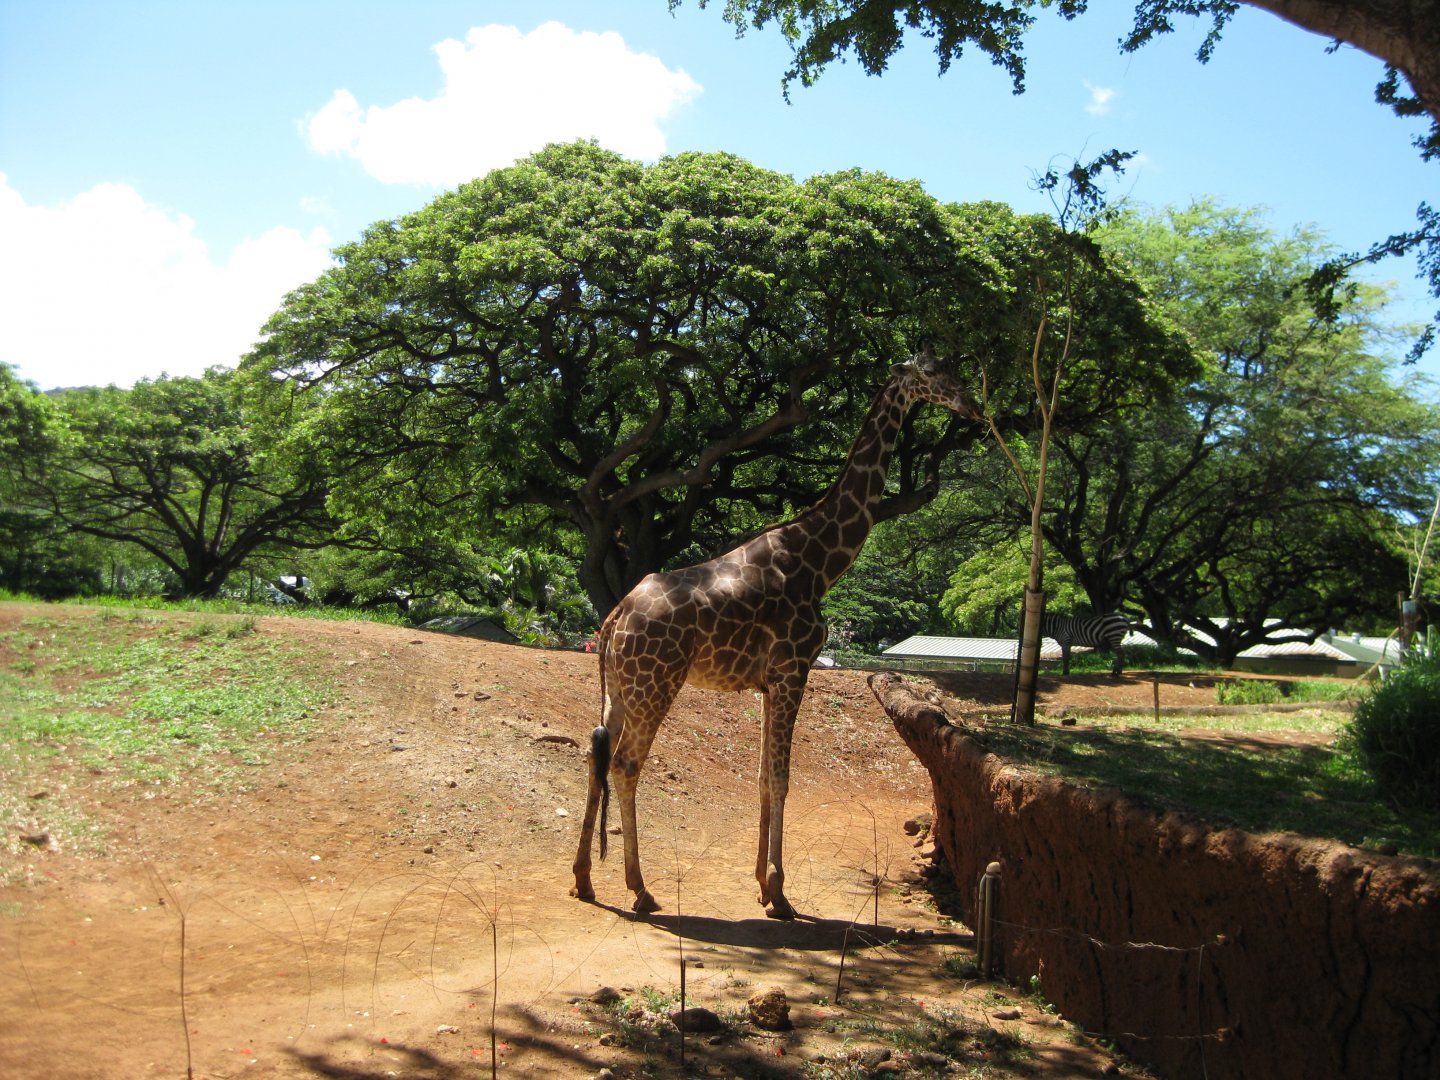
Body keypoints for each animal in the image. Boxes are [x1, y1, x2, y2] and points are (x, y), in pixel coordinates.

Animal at [570, 351, 980, 918]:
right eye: (935, 372)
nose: (974, 404)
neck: (821, 561)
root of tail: (614, 618)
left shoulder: (767, 683)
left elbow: (764, 779)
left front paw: (762, 884)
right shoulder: (793, 669)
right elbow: (783, 780)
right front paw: (781, 894)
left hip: (620, 688)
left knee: (595, 756)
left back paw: (585, 880)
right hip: (656, 685)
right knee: (627, 764)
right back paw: (640, 889)